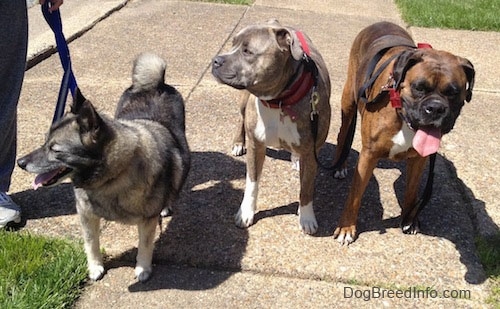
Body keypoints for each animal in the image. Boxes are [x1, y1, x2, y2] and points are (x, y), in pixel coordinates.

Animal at [17, 53, 189, 282]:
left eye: (55, 150)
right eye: (44, 143)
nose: (20, 163)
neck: (110, 178)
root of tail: (155, 84)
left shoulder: (147, 221)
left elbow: (145, 245)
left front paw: (143, 268)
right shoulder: (86, 215)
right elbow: (91, 242)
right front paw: (95, 266)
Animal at [211, 19, 332, 233]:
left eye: (247, 51)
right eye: (232, 44)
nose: (216, 60)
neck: (279, 100)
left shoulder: (312, 153)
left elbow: (306, 187)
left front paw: (306, 216)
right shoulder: (256, 145)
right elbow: (252, 183)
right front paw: (246, 212)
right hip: (244, 102)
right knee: (240, 119)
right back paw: (238, 143)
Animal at [334, 21, 474, 243]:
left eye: (453, 92)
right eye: (419, 88)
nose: (436, 108)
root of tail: (381, 22)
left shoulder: (419, 159)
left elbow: (412, 192)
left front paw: (409, 220)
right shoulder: (368, 155)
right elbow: (355, 195)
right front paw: (347, 227)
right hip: (349, 99)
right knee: (343, 134)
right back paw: (340, 165)